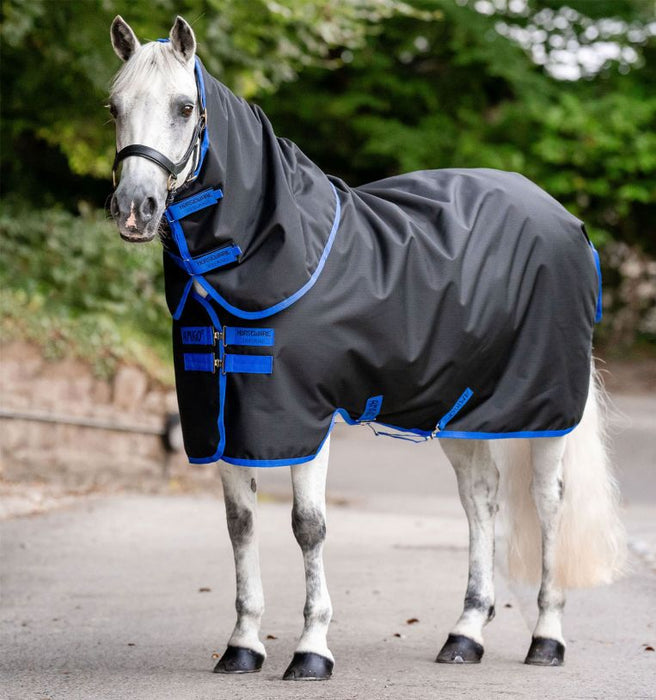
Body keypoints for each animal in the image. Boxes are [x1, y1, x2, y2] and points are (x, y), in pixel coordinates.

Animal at [108, 15, 626, 680]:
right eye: (113, 106)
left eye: (184, 106)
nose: (135, 209)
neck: (268, 251)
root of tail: (568, 222)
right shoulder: (224, 417)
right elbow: (240, 525)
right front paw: (243, 645)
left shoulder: (303, 417)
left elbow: (308, 526)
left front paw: (311, 650)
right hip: (459, 407)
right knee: (480, 500)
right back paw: (465, 634)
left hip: (547, 408)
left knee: (549, 503)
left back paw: (547, 638)